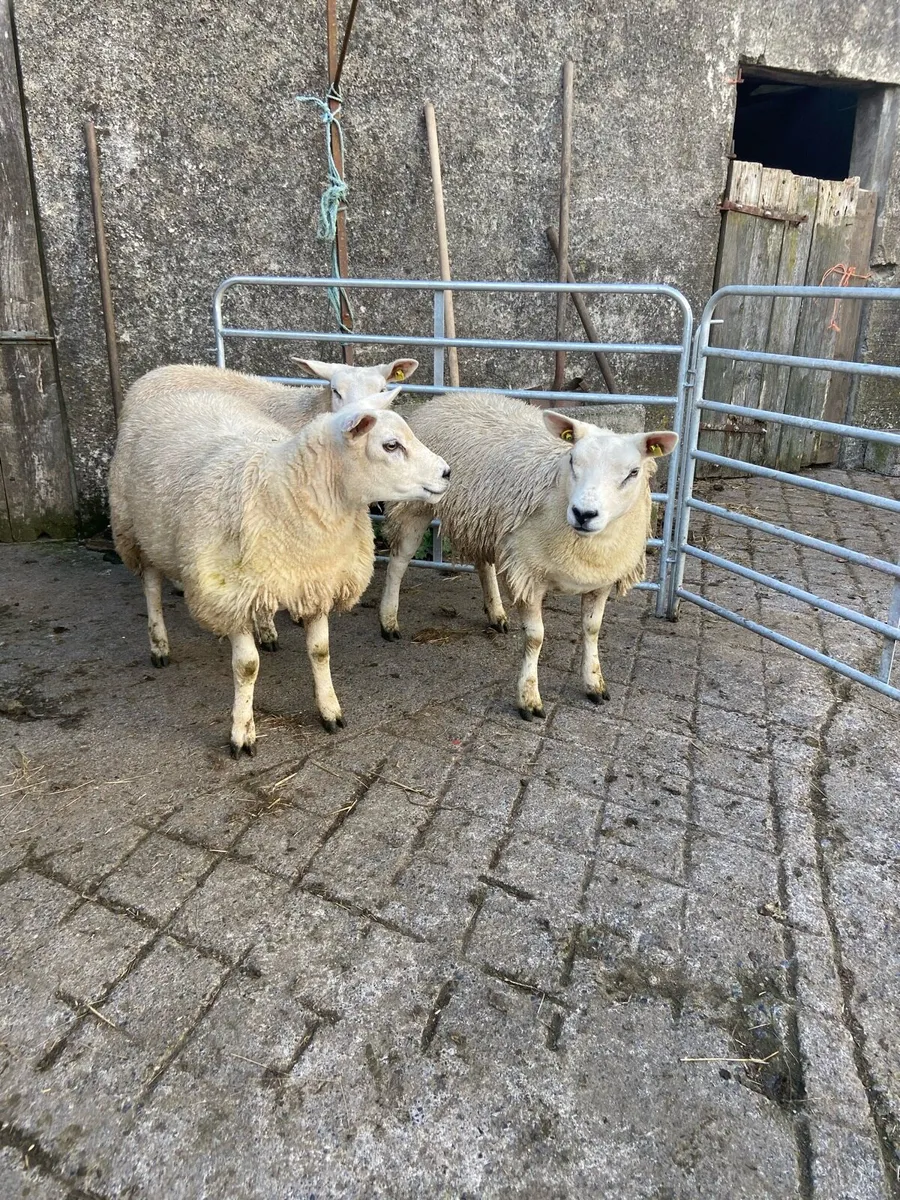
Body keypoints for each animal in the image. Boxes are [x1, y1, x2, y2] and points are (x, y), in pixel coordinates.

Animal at [109, 383, 450, 756]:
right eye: (391, 445)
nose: (447, 472)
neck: (285, 490)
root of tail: (183, 393)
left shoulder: (317, 581)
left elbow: (320, 652)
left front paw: (330, 711)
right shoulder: (230, 596)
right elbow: (246, 667)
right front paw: (242, 733)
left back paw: (267, 631)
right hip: (135, 528)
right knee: (151, 586)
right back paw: (159, 645)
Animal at [378, 392, 678, 719]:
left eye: (633, 473)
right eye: (572, 461)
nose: (583, 514)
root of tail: (448, 397)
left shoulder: (600, 581)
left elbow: (592, 630)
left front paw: (594, 683)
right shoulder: (528, 574)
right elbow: (536, 638)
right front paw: (529, 698)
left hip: (484, 519)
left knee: (483, 564)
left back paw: (496, 613)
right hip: (414, 506)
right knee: (398, 562)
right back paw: (388, 621)